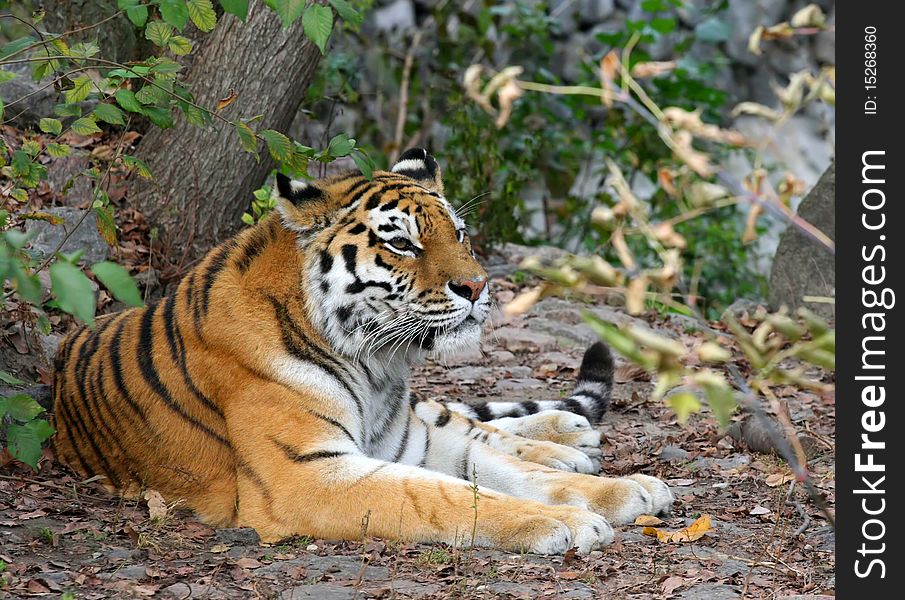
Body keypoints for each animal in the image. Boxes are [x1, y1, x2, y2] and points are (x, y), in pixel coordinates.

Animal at [49, 149, 672, 552]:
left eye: (460, 234)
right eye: (403, 243)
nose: (477, 287)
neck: (376, 363)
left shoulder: (406, 440)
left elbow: (496, 466)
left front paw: (623, 489)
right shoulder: (306, 476)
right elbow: (445, 494)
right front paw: (566, 521)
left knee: (474, 422)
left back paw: (567, 442)